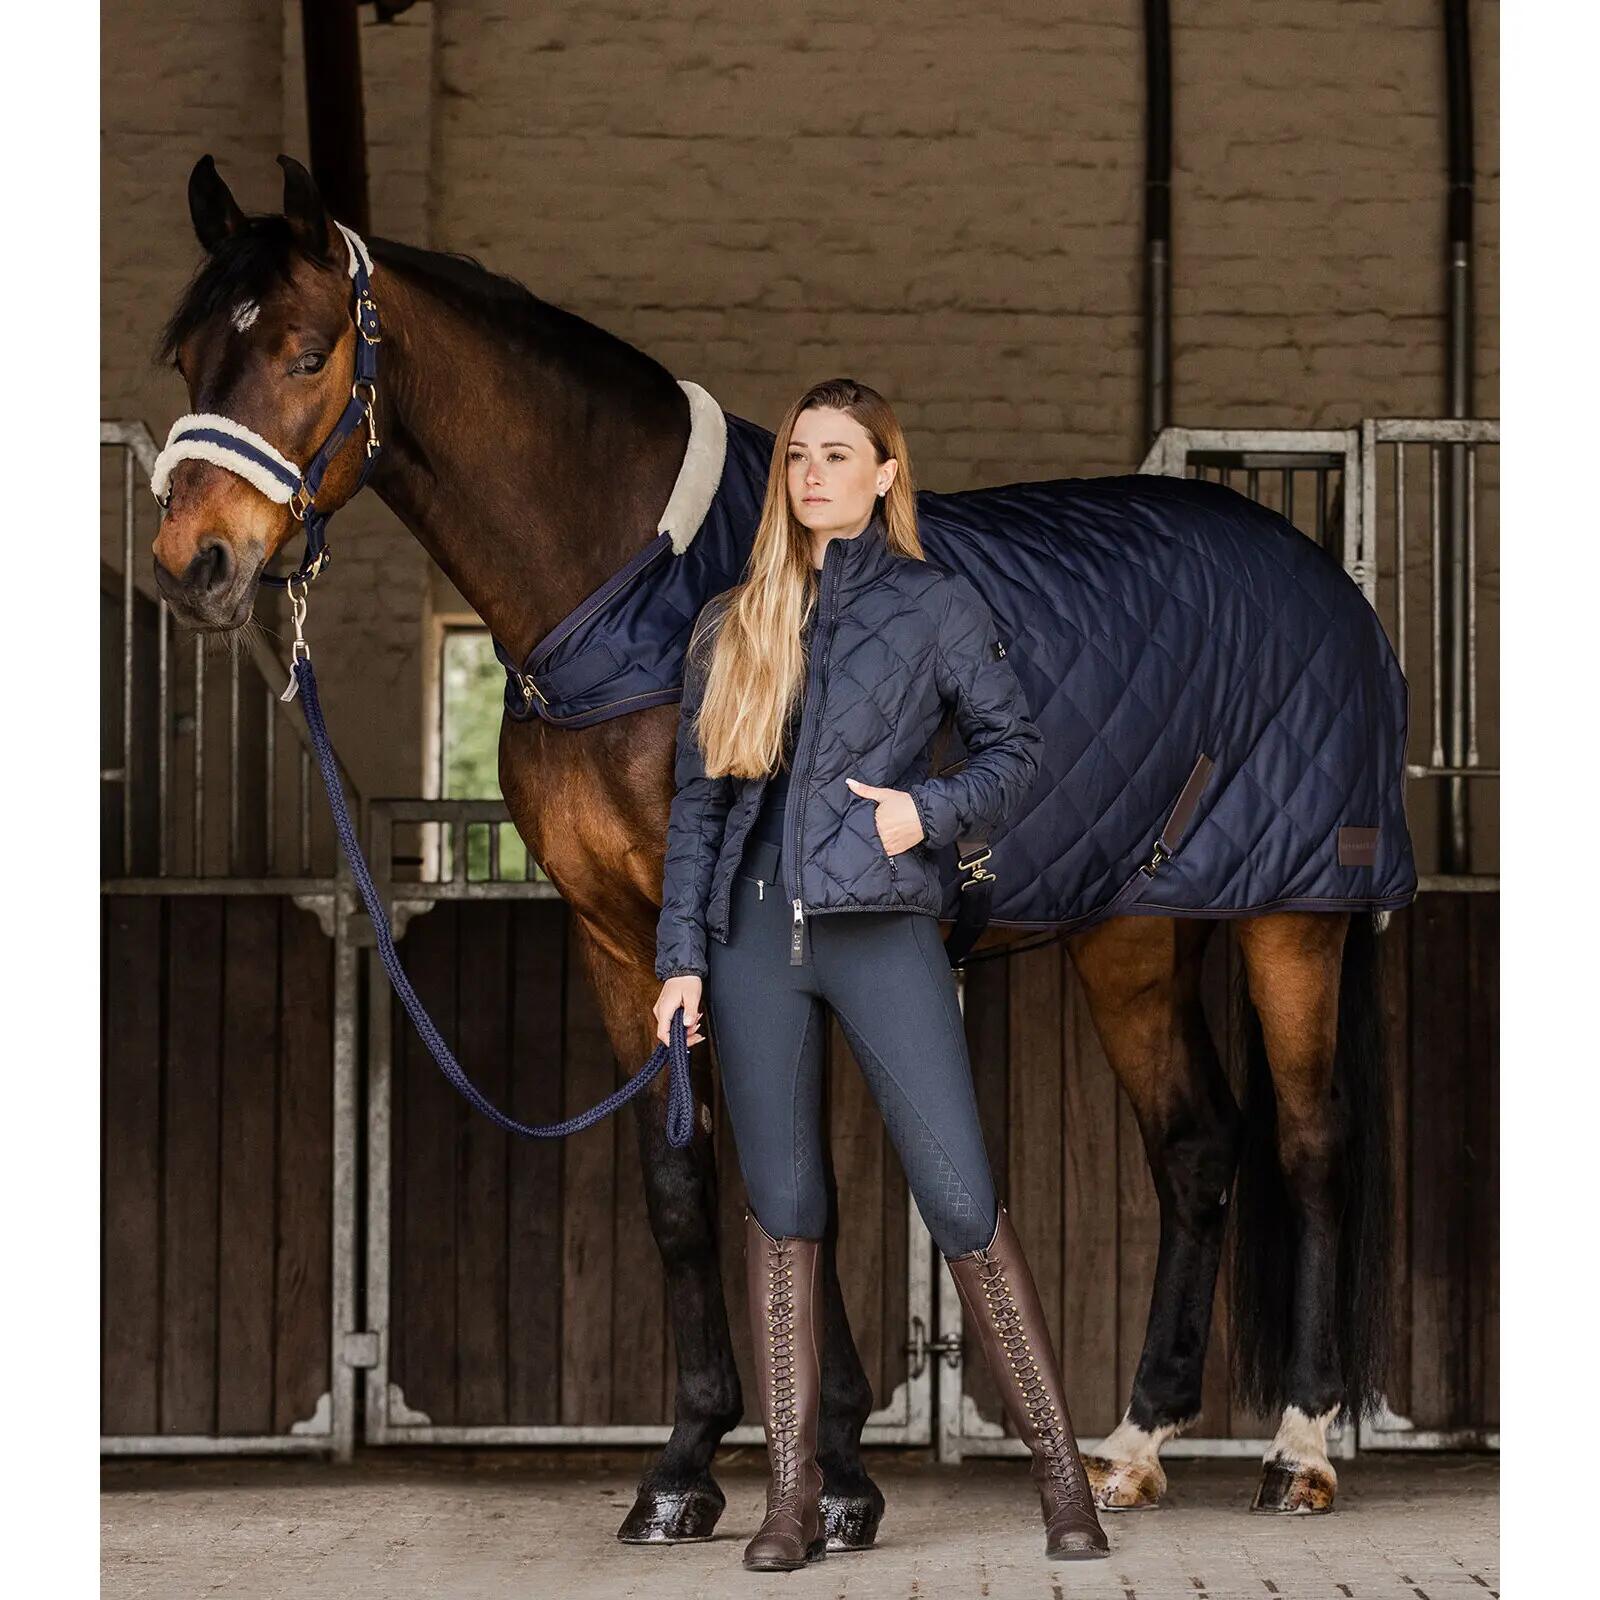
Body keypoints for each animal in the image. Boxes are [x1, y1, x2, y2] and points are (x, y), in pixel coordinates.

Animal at [148, 153, 1394, 1530]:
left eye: (308, 352)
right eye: (186, 355)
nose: (192, 564)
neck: (638, 586)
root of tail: (1324, 582)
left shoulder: (760, 935)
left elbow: (797, 1176)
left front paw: (837, 1465)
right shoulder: (621, 938)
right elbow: (685, 1185)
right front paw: (685, 1467)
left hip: (1292, 918)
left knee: (1312, 1146)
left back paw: (1296, 1450)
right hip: (1132, 931)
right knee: (1195, 1146)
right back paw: (1134, 1444)